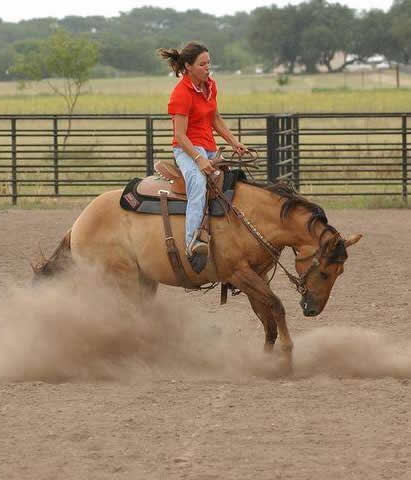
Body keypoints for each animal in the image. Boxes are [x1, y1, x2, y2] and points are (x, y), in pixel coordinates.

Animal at [33, 163, 362, 366]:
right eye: (324, 271)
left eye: (340, 272)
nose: (312, 309)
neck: (252, 216)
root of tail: (78, 223)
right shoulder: (240, 274)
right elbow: (277, 307)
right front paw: (286, 358)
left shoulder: (253, 278)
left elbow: (267, 319)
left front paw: (266, 361)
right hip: (116, 278)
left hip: (143, 279)